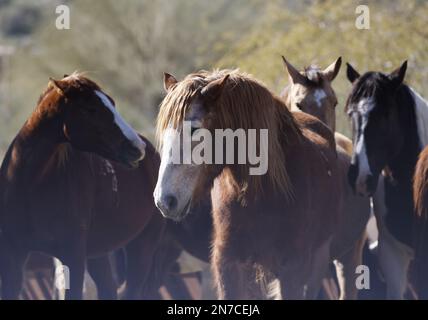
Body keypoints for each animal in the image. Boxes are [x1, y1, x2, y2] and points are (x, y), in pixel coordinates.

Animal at [0, 73, 164, 300]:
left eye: (111, 103)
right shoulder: (12, 255)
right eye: (90, 108)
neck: (30, 186)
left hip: (143, 246)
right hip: (98, 252)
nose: (136, 148)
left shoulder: (73, 256)